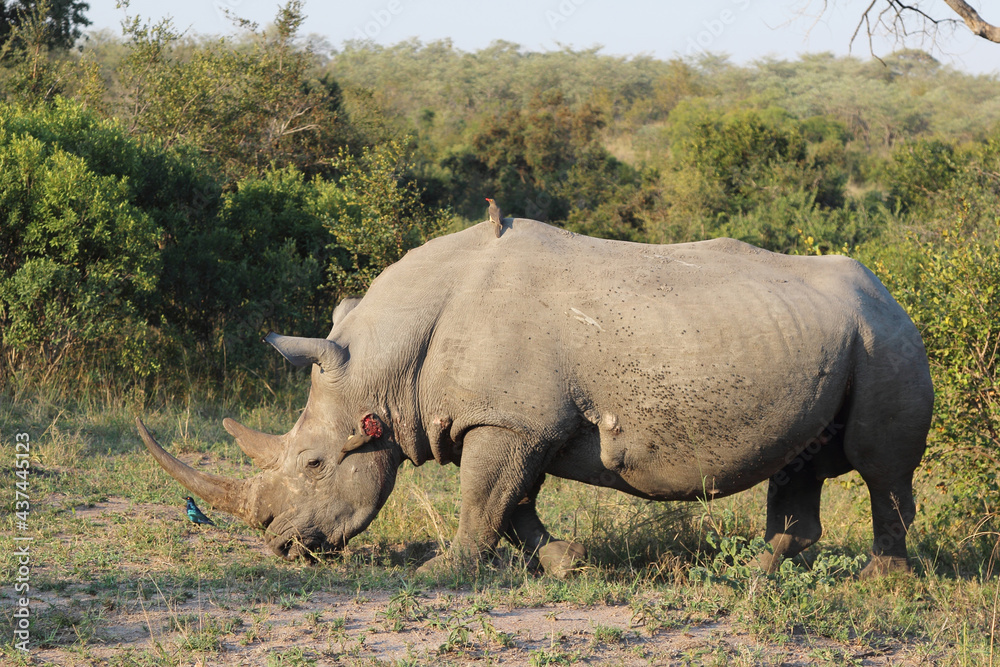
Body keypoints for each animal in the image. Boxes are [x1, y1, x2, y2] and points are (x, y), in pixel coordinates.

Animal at [138, 218, 933, 577]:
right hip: (838, 338)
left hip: (887, 339)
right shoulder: (512, 421)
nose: (278, 543)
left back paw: (879, 580)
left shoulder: (508, 421)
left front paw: (440, 572)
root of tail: (893, 293)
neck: (386, 365)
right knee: (801, 465)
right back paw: (758, 575)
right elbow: (512, 502)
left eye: (311, 464)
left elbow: (483, 498)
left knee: (880, 468)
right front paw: (567, 563)